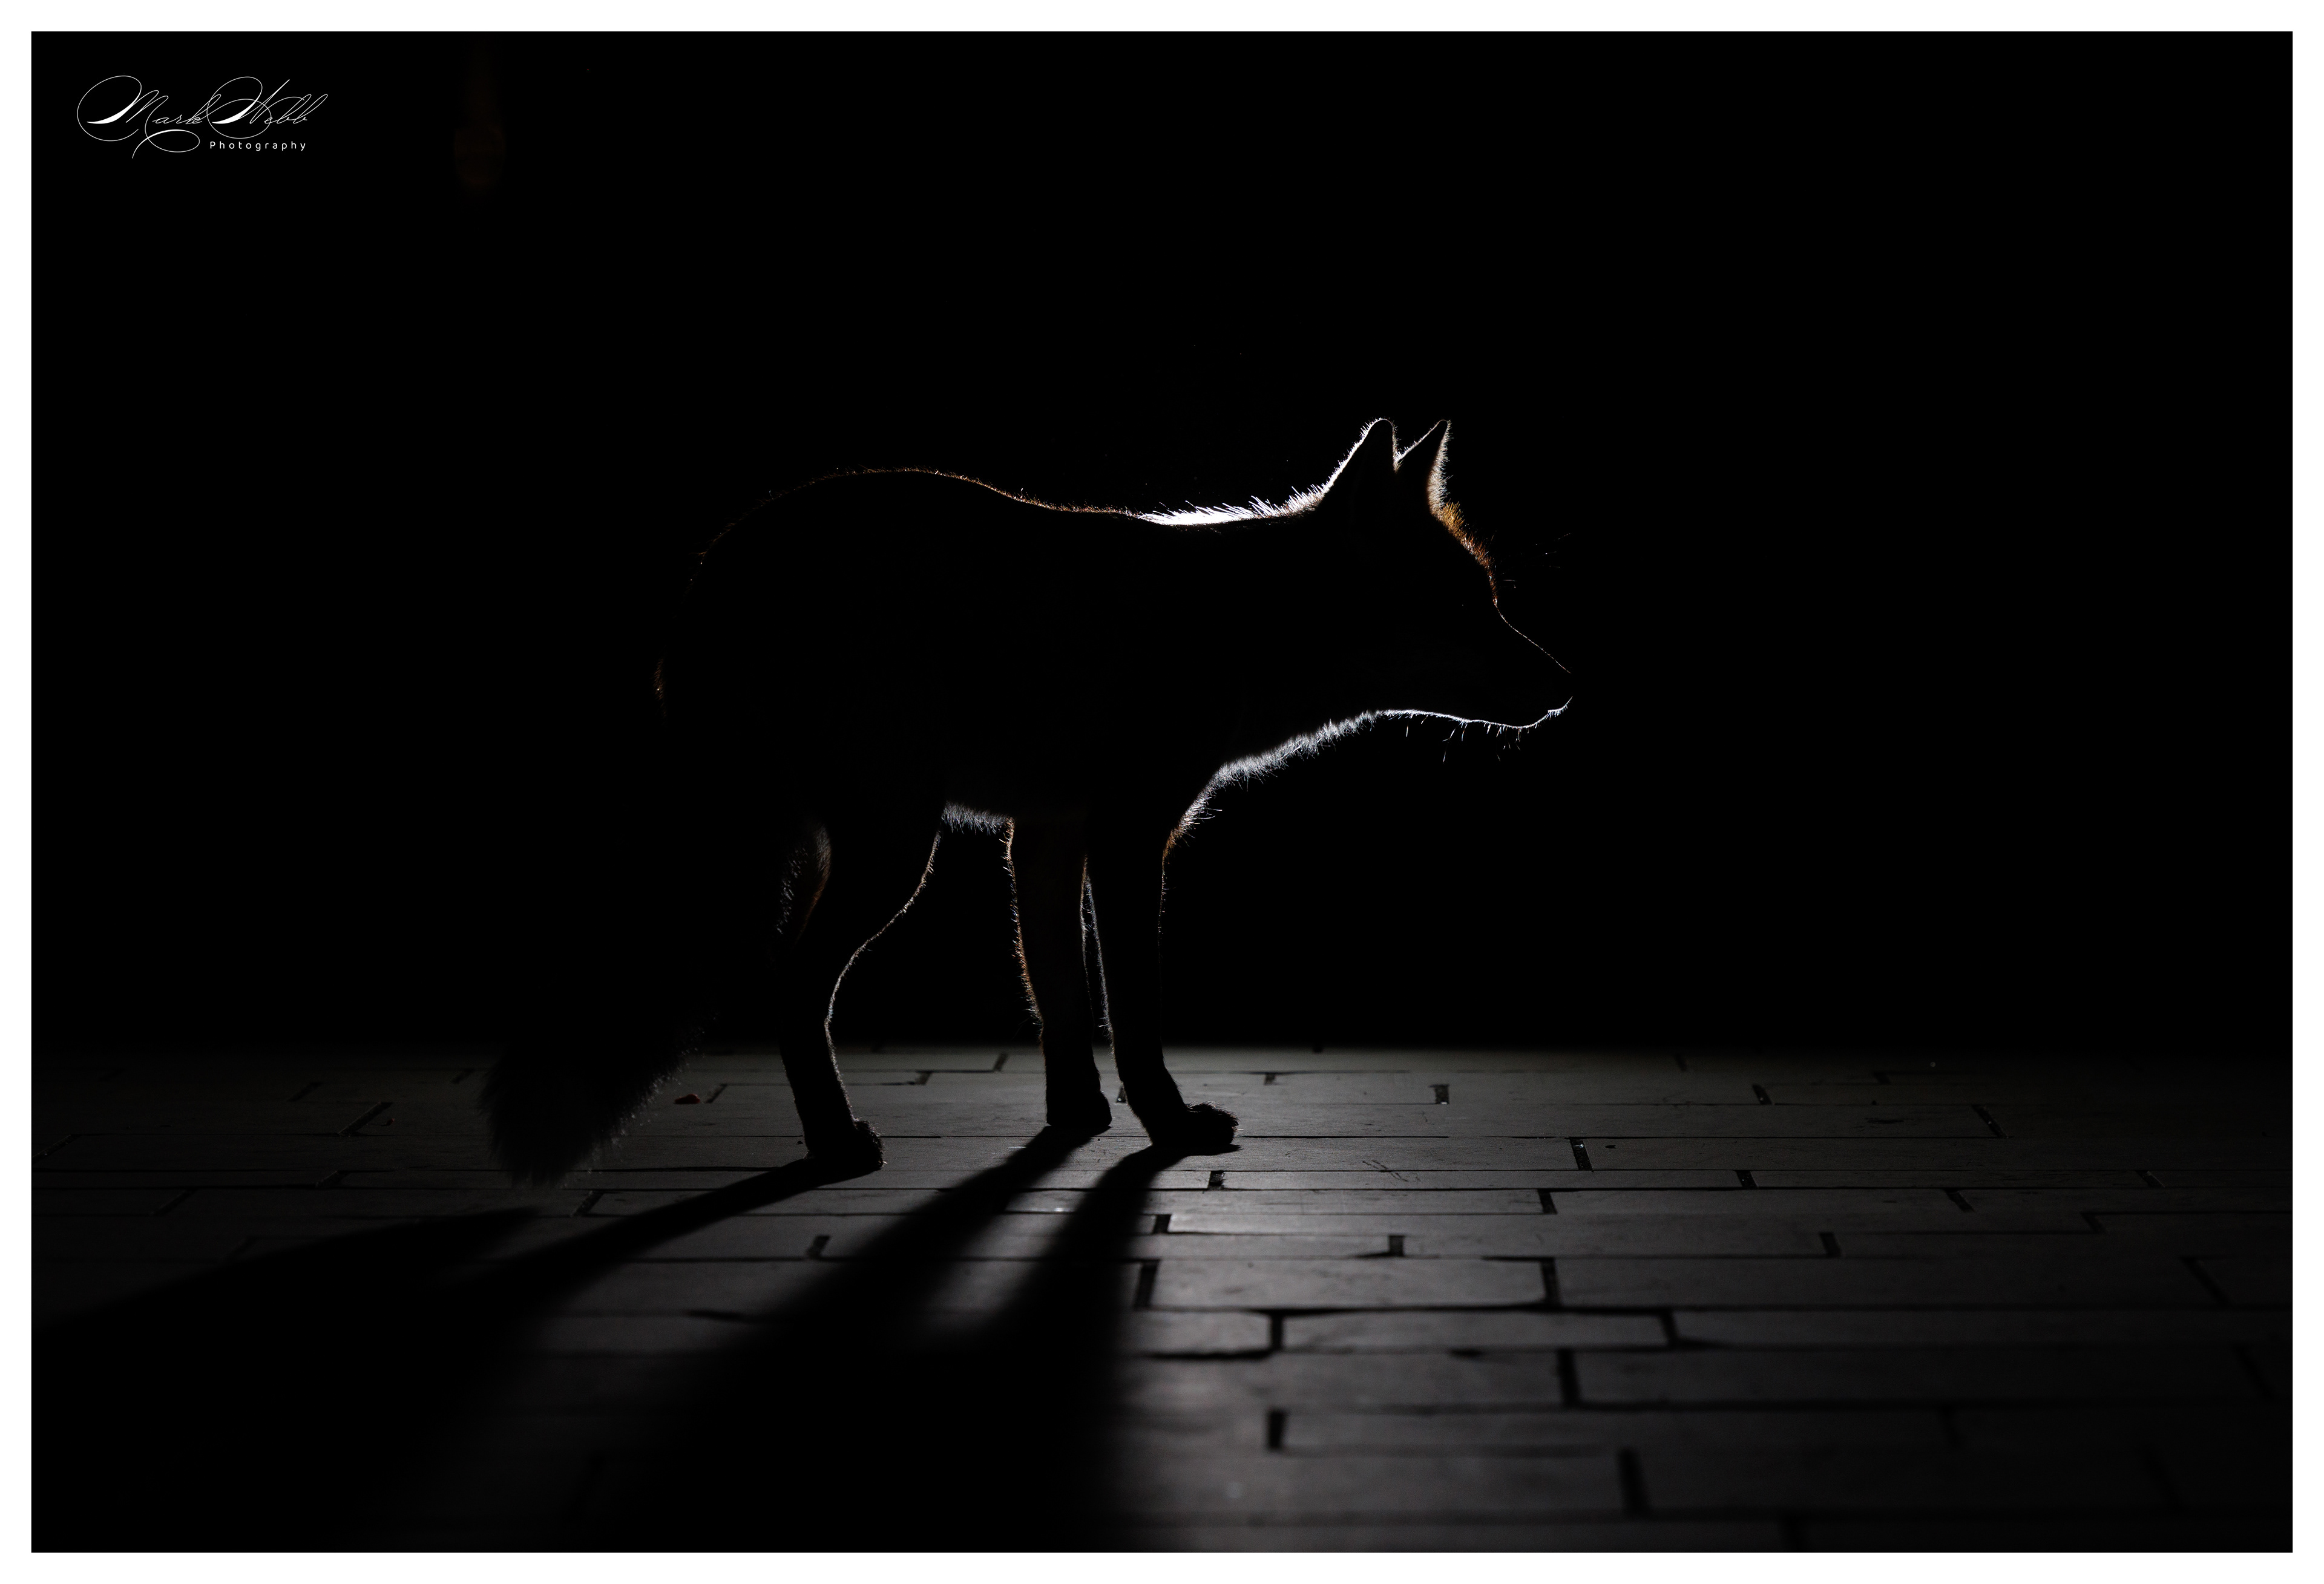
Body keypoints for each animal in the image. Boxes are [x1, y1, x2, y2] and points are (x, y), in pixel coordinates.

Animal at [486, 418, 1568, 1181]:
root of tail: (719, 566)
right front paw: (1168, 1125)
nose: (1566, 685)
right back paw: (833, 1145)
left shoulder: (1045, 832)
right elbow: (1134, 1009)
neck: (1234, 626)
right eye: (1468, 608)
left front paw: (1076, 1117)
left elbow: (1059, 993)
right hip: (894, 849)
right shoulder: (1130, 835)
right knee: (794, 987)